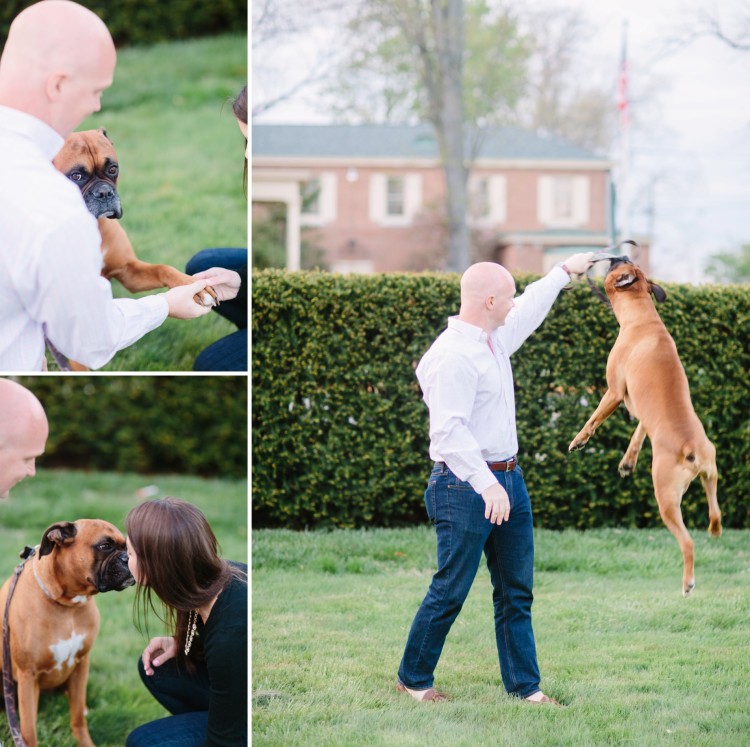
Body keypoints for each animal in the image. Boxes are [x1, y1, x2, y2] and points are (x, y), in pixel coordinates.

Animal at [0, 524, 135, 744]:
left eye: (126, 546)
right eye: (105, 546)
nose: (128, 558)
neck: (68, 604)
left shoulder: (81, 664)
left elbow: (78, 715)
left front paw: (85, 742)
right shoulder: (28, 676)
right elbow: (28, 730)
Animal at [568, 258, 724, 596]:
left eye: (618, 264)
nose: (616, 256)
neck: (643, 320)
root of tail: (692, 448)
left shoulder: (614, 392)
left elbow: (595, 418)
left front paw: (580, 439)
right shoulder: (640, 409)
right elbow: (640, 431)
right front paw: (628, 461)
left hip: (666, 499)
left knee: (687, 543)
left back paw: (688, 583)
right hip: (709, 475)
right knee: (715, 511)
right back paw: (715, 528)